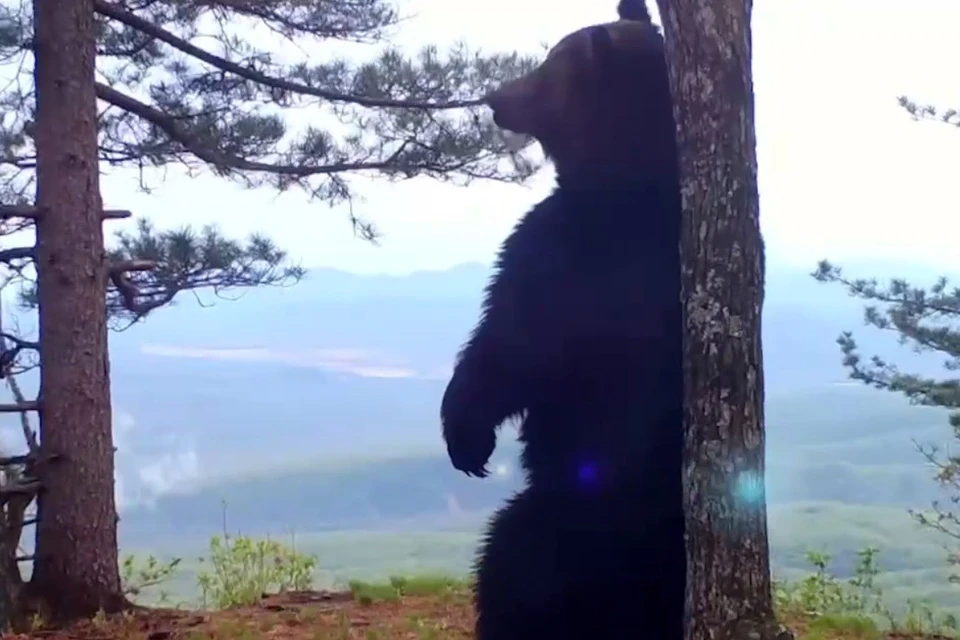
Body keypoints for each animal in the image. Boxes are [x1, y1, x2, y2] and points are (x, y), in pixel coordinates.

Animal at [438, 1, 688, 640]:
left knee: (508, 559)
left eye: (547, 66)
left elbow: (507, 344)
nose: (495, 95)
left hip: (564, 513)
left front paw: (466, 438)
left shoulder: (561, 253)